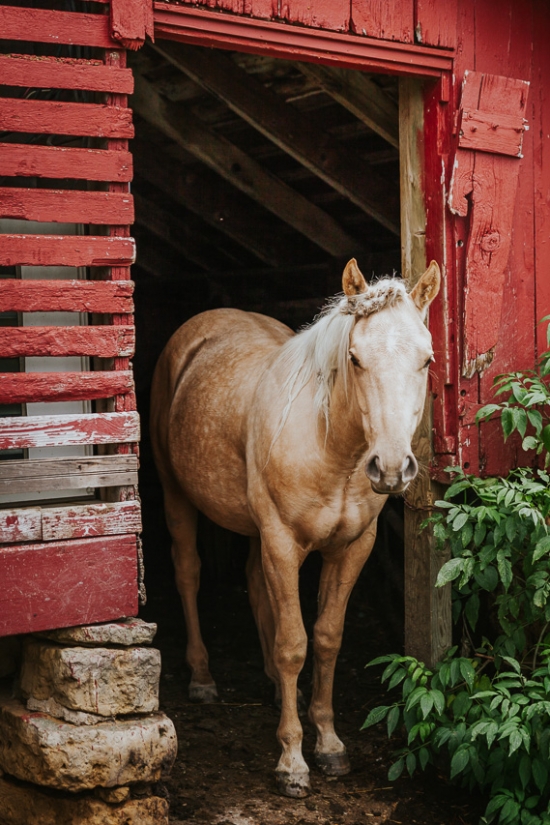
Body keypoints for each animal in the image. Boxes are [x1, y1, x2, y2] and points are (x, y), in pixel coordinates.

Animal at [152, 260, 444, 800]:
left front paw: (328, 744)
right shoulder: (284, 543)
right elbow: (294, 645)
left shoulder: (352, 548)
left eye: (427, 360)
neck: (334, 449)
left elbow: (326, 638)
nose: (392, 467)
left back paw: (269, 684)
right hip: (176, 495)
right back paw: (202, 677)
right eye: (354, 358)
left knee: (254, 584)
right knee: (188, 575)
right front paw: (291, 761)